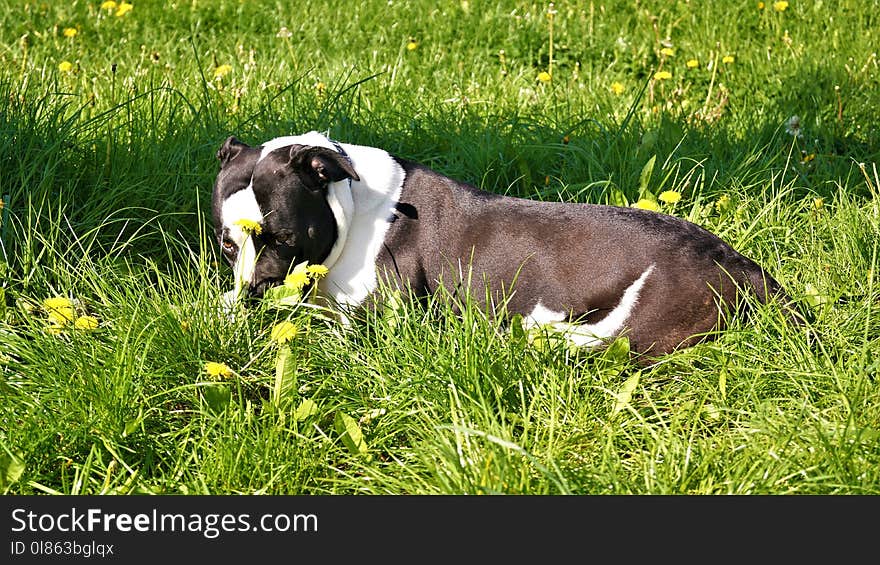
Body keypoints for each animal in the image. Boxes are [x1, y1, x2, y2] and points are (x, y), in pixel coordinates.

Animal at [213, 130, 796, 354]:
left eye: (286, 238)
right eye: (227, 247)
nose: (253, 292)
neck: (350, 204)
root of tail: (740, 265)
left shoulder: (374, 316)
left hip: (626, 333)